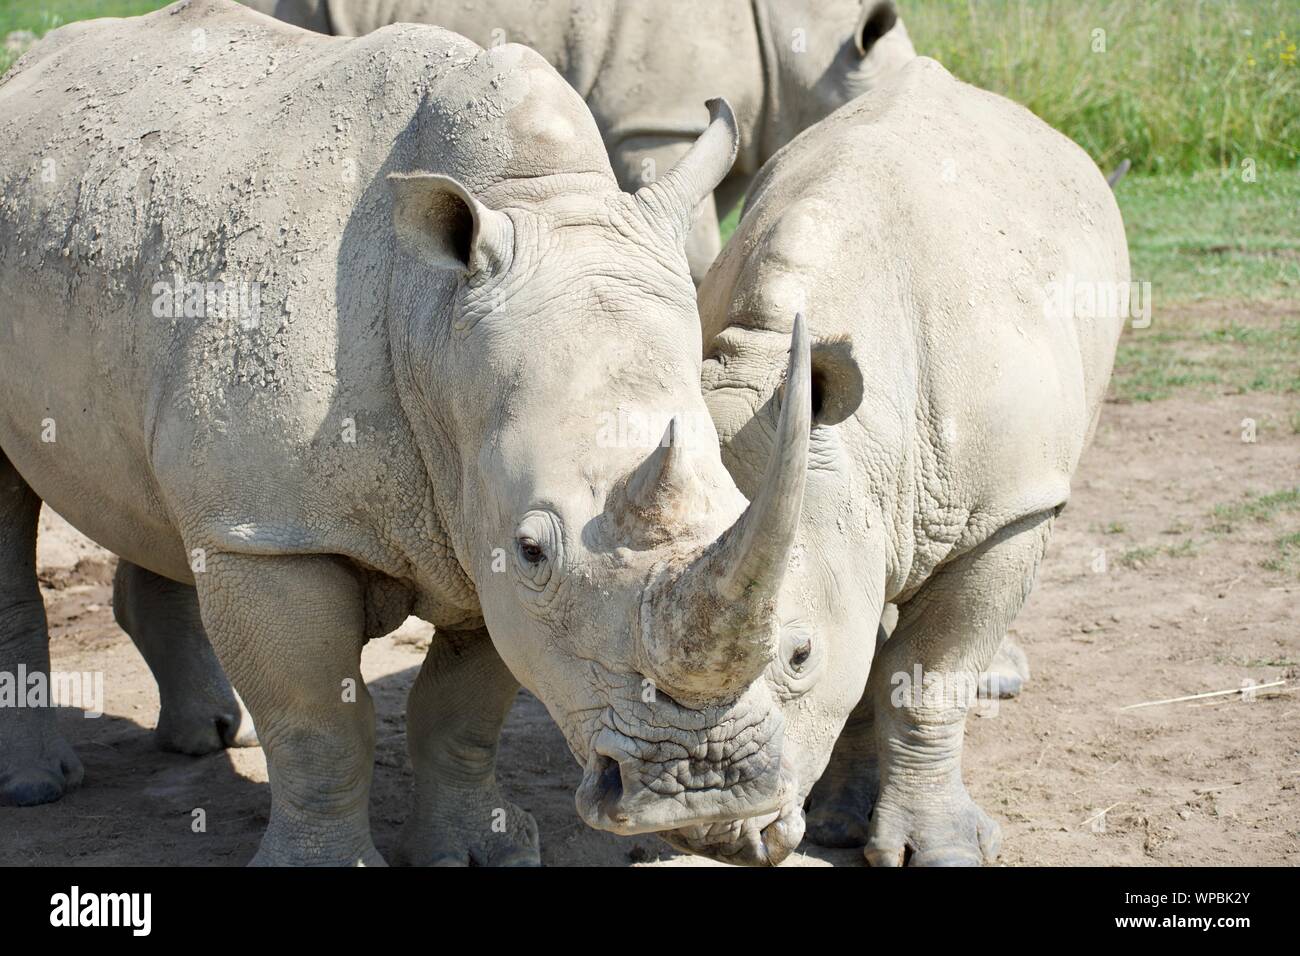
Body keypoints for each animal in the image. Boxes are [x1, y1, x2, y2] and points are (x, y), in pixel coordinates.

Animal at [0, 0, 811, 868]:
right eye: (535, 549)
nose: (706, 784)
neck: (435, 327)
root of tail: (33, 67)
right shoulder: (280, 535)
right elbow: (320, 723)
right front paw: (327, 865)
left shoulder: (473, 517)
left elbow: (463, 711)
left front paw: (481, 852)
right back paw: (38, 787)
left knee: (166, 502)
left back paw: (213, 738)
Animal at [670, 59, 1128, 868]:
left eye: (798, 655)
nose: (707, 832)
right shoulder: (845, 495)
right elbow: (867, 657)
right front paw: (837, 823)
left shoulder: (1005, 507)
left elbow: (931, 671)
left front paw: (941, 850)